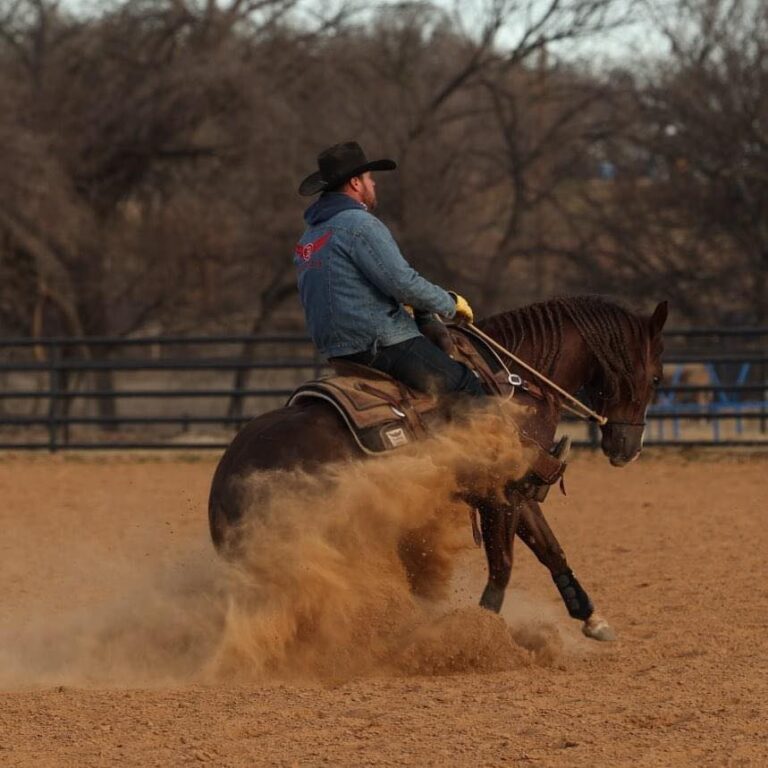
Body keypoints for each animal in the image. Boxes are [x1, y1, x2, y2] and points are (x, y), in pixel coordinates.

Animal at [209, 295, 668, 641]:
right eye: (658, 377)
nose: (629, 449)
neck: (518, 381)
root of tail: (230, 475)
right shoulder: (501, 494)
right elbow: (503, 565)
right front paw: (481, 635)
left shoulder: (517, 490)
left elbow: (550, 549)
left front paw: (591, 616)